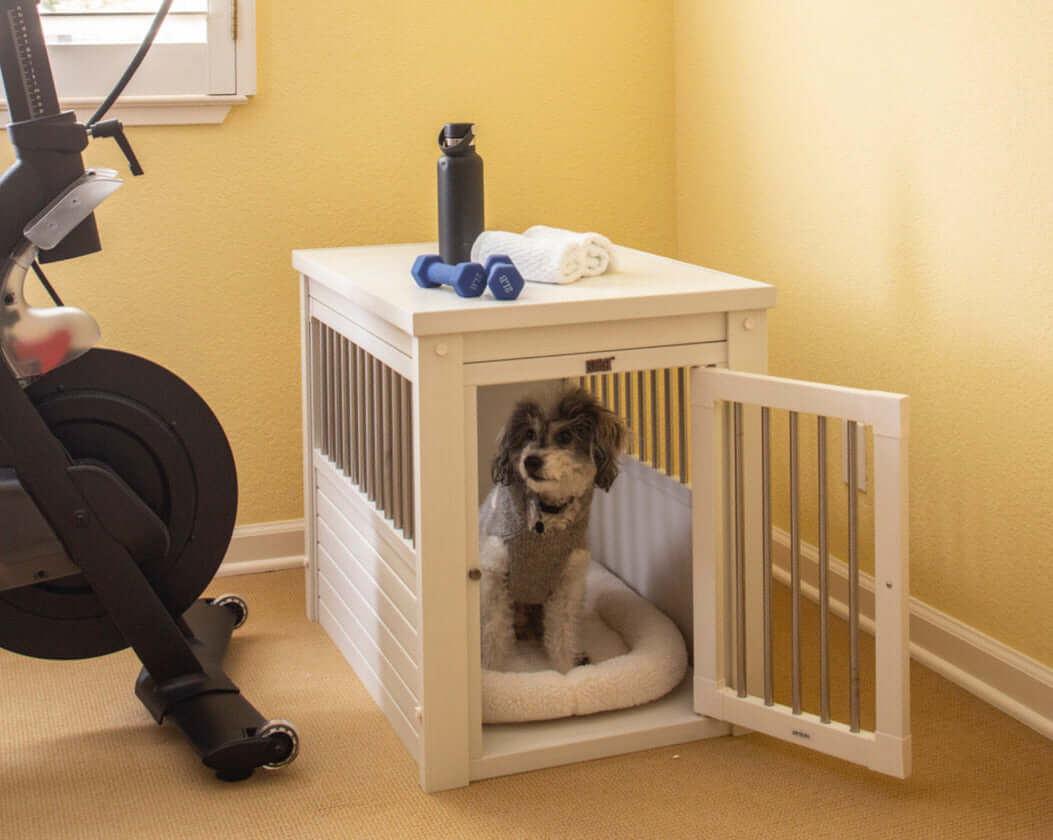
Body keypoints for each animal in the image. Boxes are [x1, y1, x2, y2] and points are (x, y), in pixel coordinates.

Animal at [482, 389, 627, 677]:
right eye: (529, 433)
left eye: (565, 436)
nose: (531, 460)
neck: (545, 519)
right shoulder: (495, 575)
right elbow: (495, 635)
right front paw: (494, 675)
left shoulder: (567, 585)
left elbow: (562, 635)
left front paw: (565, 674)